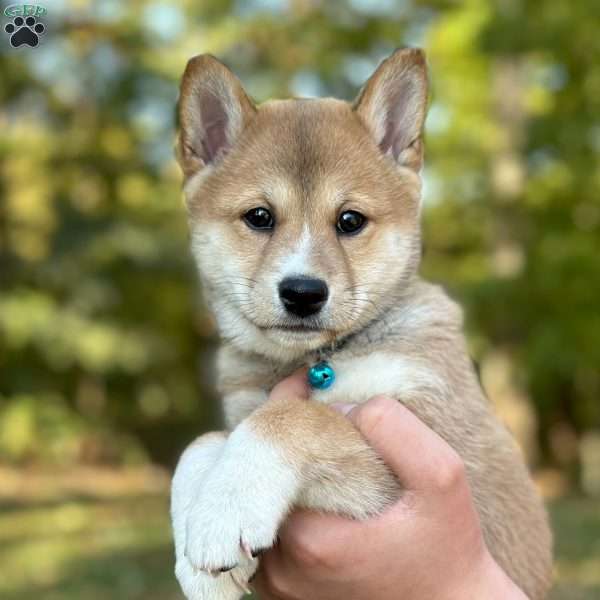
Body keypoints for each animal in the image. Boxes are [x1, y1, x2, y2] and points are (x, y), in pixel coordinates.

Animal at [170, 49, 552, 596]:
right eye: (259, 216)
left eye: (350, 221)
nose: (303, 292)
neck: (318, 360)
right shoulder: (242, 409)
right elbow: (205, 442)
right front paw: (197, 549)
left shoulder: (433, 434)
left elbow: (296, 418)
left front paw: (226, 511)